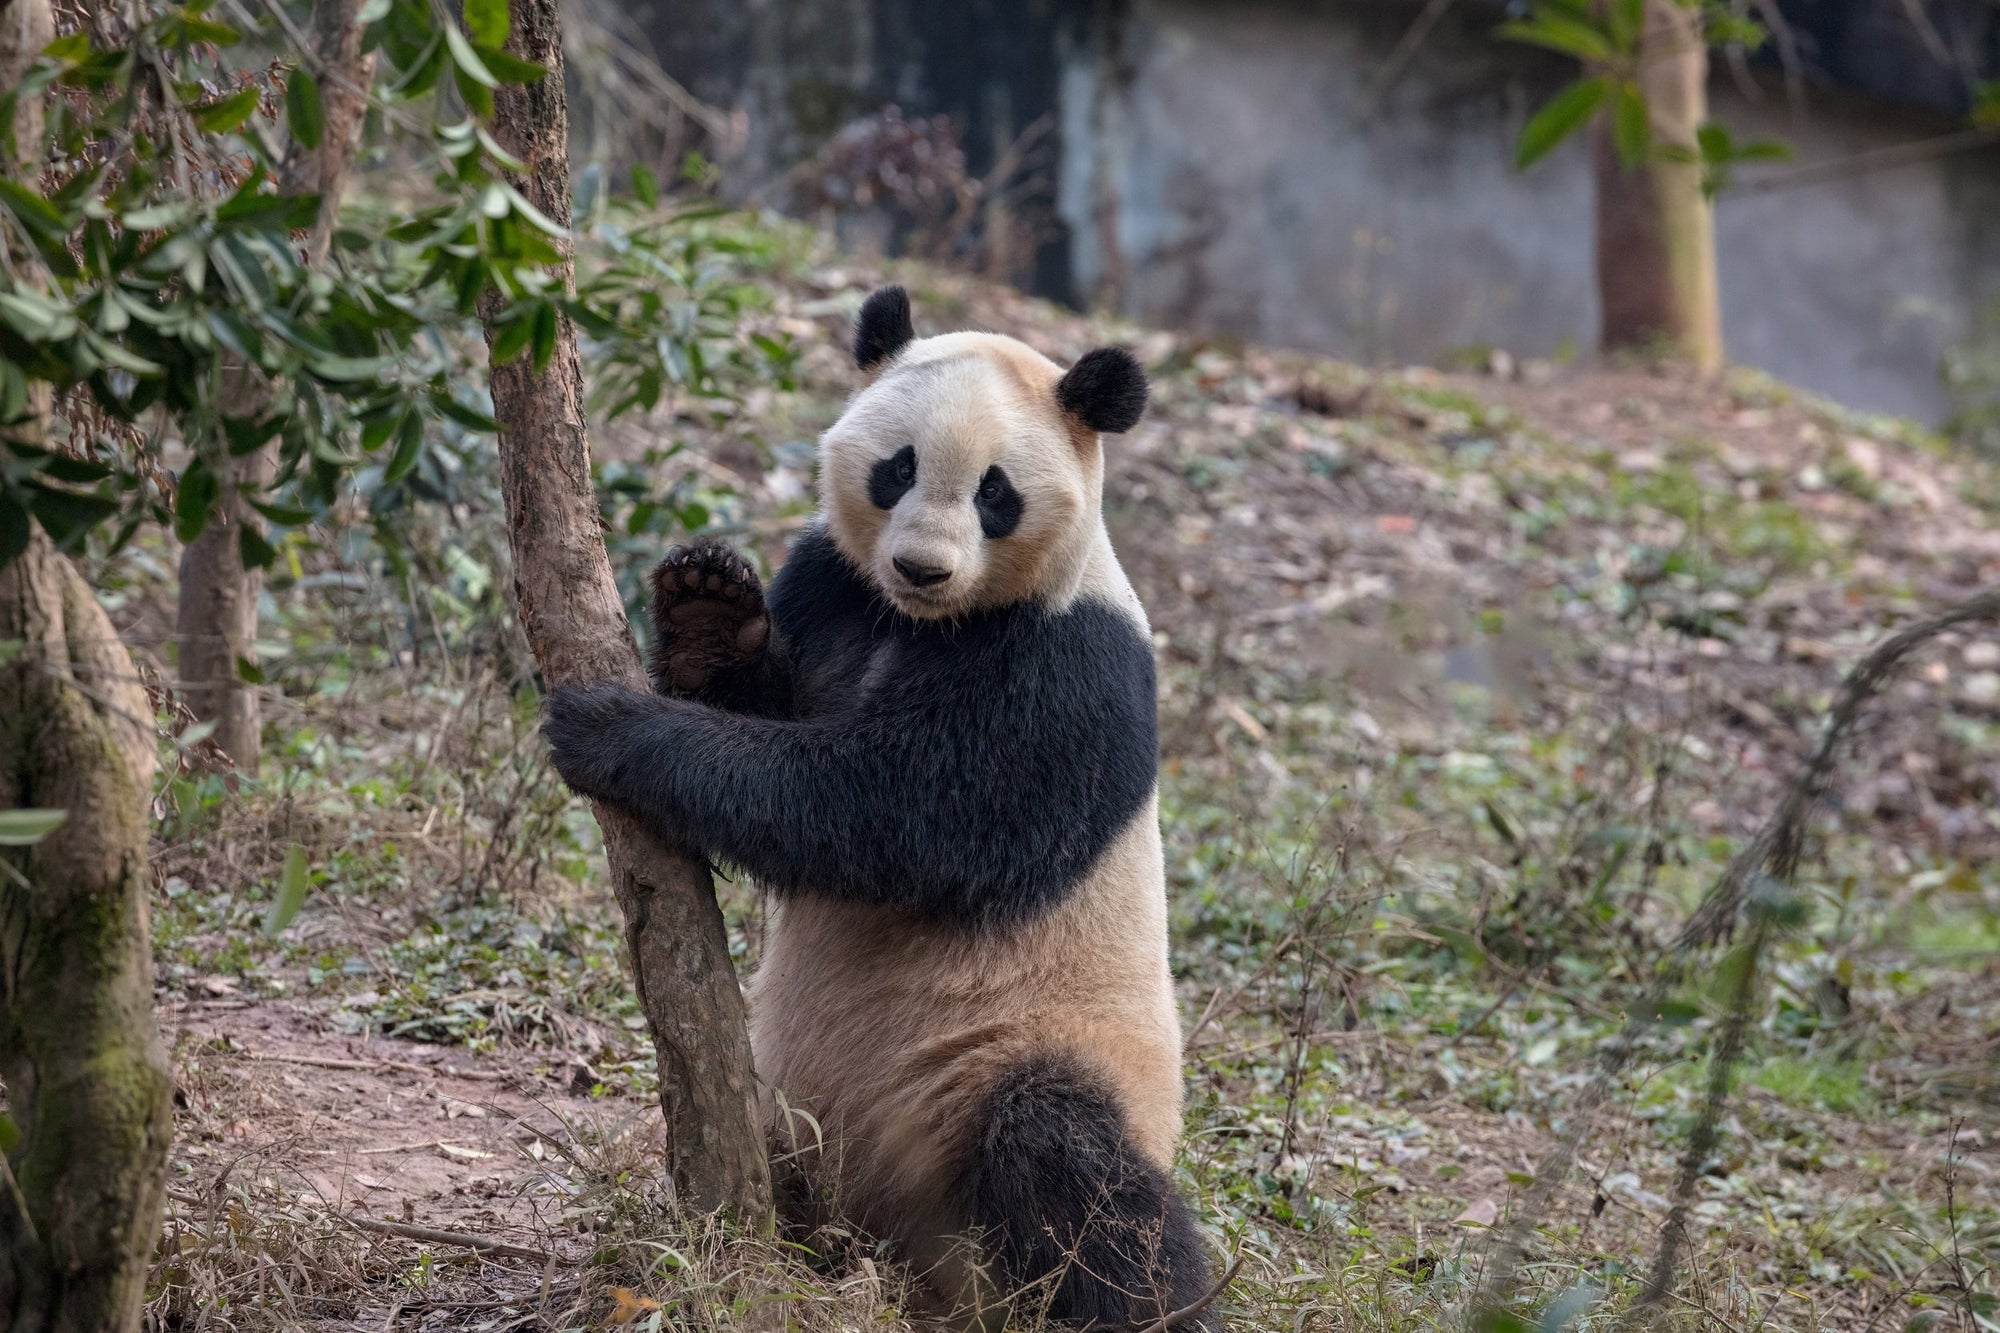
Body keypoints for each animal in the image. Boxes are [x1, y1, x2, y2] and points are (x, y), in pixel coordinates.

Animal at [540, 286, 1208, 1320]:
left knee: (1073, 1162)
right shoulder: (835, 587)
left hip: (1034, 1053)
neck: (923, 624)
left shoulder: (1065, 666)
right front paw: (704, 603)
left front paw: (611, 729)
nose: (923, 567)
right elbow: (772, 701)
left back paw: (1147, 1303)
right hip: (798, 1113)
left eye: (995, 492)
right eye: (899, 468)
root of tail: (920, 1255)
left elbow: (892, 815)